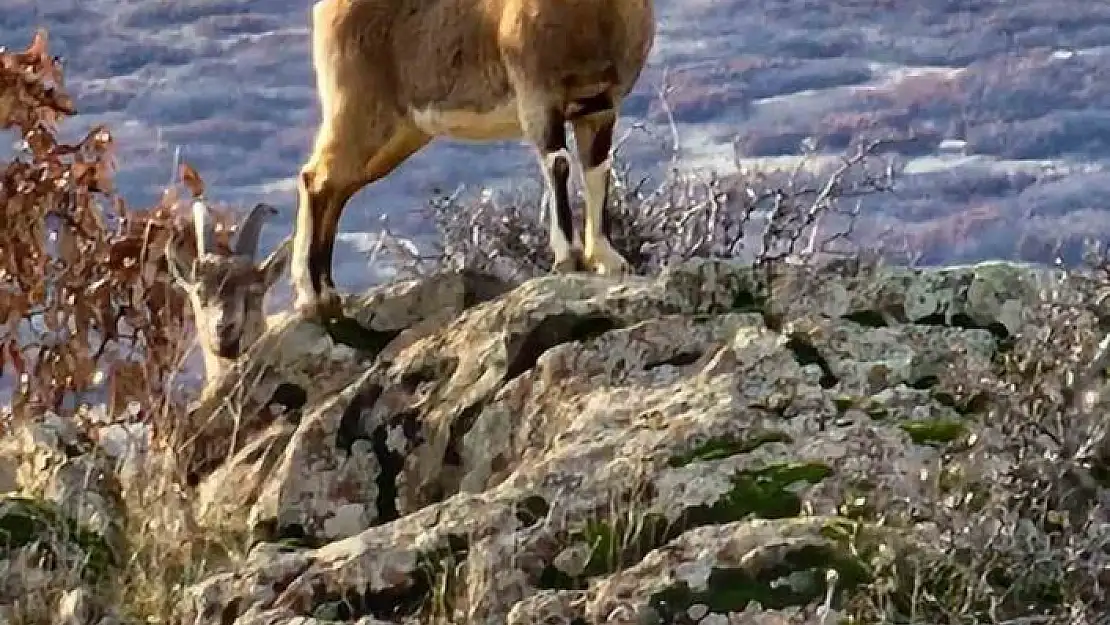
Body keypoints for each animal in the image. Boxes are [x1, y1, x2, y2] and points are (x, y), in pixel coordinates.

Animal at [288, 0, 657, 317]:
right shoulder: (539, 99)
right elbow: (560, 164)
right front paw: (568, 259)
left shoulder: (599, 108)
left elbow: (598, 170)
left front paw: (607, 259)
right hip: (359, 112)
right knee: (317, 179)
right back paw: (314, 297)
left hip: (399, 134)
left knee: (335, 188)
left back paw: (326, 295)